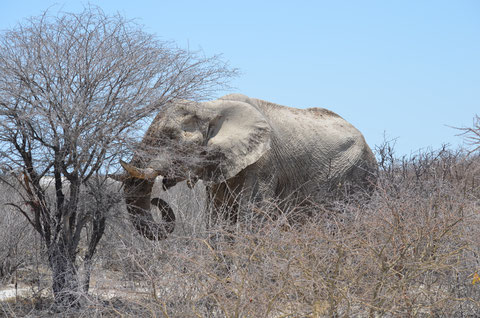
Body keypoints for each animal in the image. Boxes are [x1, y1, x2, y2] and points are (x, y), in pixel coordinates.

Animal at [118, 93, 376, 240]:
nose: (157, 201)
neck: (211, 108)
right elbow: (218, 220)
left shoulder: (263, 165)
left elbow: (252, 219)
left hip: (358, 176)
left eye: (170, 137)